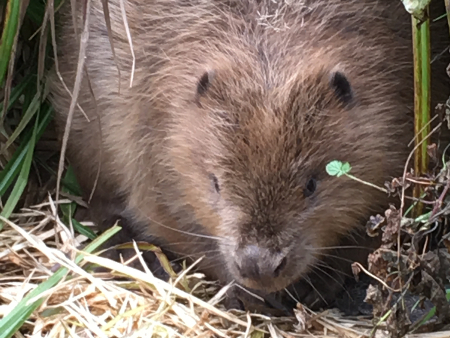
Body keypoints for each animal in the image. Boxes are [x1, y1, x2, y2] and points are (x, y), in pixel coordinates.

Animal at [47, 0, 448, 312]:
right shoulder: (144, 137)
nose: (260, 266)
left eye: (312, 184)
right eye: (216, 183)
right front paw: (250, 294)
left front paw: (315, 286)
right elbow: (165, 220)